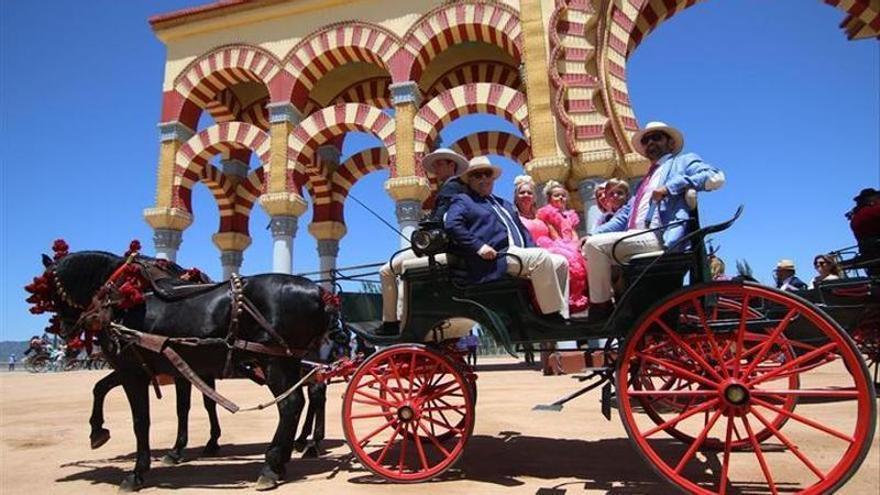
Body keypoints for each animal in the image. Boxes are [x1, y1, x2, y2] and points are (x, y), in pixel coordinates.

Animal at [37, 252, 334, 492]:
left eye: (49, 290)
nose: (66, 331)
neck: (123, 300)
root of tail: (318, 291)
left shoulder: (133, 371)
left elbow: (141, 420)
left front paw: (137, 472)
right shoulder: (154, 368)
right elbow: (102, 389)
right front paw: (98, 432)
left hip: (275, 362)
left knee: (291, 403)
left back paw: (274, 464)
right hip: (292, 360)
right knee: (307, 396)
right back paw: (292, 452)